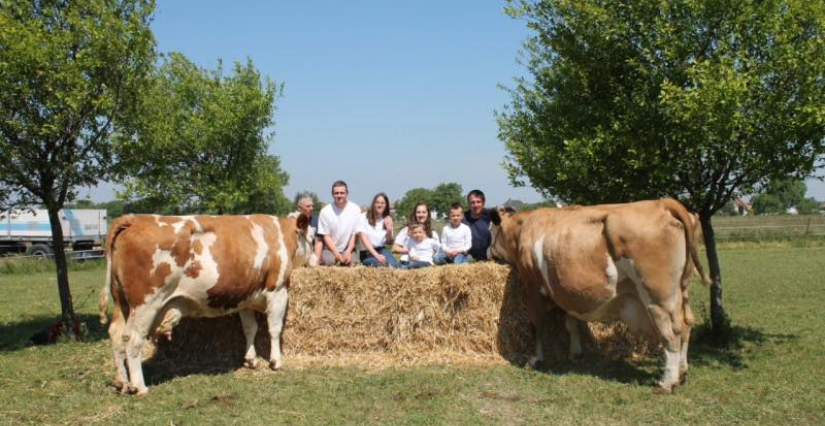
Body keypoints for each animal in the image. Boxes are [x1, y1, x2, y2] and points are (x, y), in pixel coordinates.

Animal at [97, 215, 316, 394]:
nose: (315, 260)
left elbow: (249, 329)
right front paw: (276, 361)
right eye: (313, 239)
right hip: (146, 304)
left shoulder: (246, 297)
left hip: (121, 302)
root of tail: (133, 219)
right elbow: (274, 329)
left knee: (116, 334)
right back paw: (139, 387)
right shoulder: (278, 291)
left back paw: (122, 382)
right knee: (133, 339)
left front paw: (251, 359)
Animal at [486, 200, 712, 392]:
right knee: (687, 324)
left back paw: (667, 382)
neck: (526, 227)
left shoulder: (532, 287)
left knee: (671, 332)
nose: (488, 252)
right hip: (682, 289)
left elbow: (536, 325)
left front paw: (535, 359)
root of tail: (663, 202)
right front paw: (575, 352)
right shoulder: (567, 292)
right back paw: (682, 372)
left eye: (490, 231)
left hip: (658, 295)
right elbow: (571, 322)